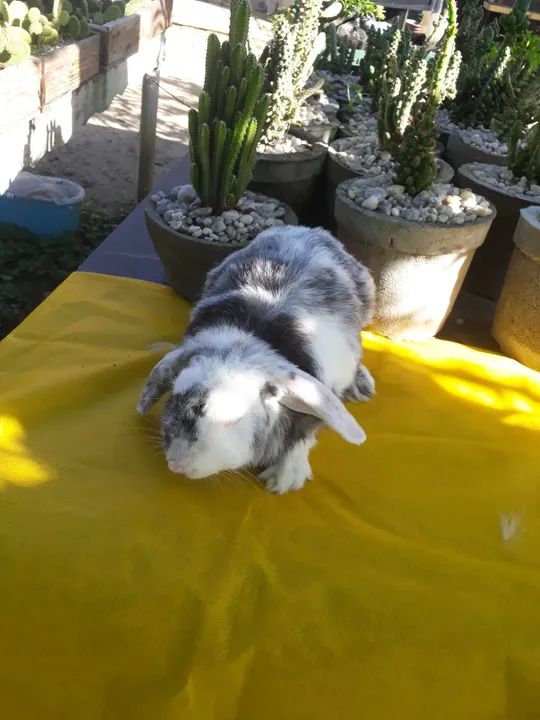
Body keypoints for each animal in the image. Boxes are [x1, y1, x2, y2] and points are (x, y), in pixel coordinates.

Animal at [137, 225, 375, 494]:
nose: (178, 464)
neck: (246, 342)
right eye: (174, 396)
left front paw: (282, 481)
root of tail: (306, 230)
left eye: (234, 417)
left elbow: (304, 434)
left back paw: (361, 387)